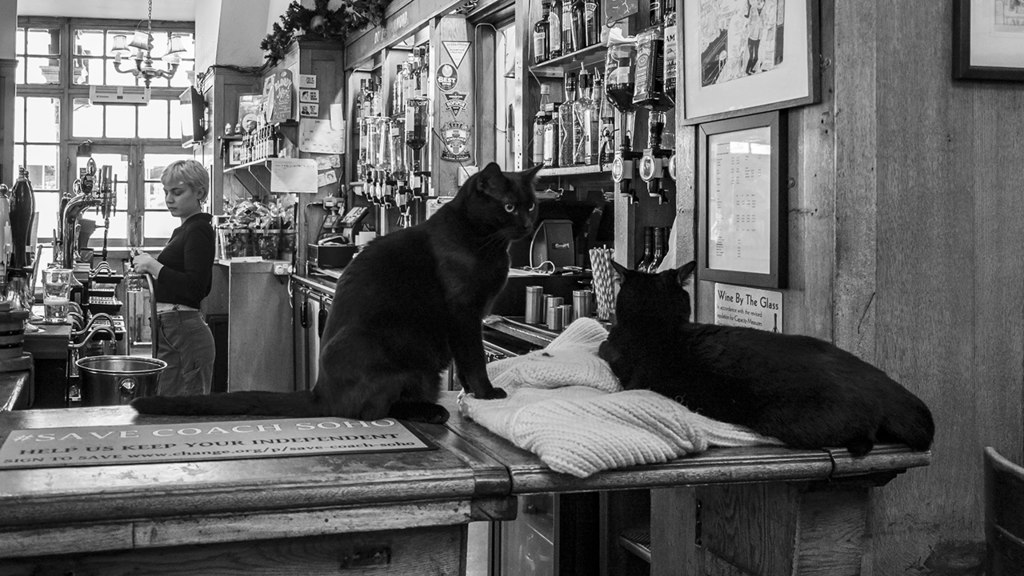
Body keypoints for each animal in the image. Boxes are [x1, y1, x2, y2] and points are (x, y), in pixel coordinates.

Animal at [134, 161, 544, 422]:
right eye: (509, 206)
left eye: (532, 205)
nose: (527, 225)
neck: (486, 244)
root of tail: (320, 391)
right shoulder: (464, 315)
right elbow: (474, 360)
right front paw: (486, 395)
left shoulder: (473, 317)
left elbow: (470, 361)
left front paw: (474, 396)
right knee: (368, 411)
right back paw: (431, 412)